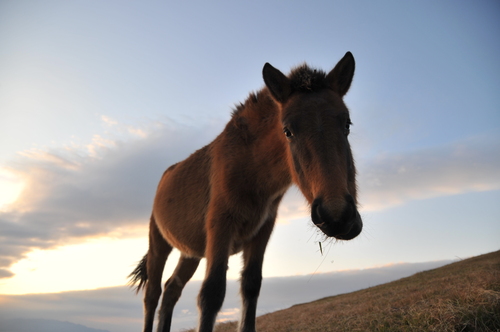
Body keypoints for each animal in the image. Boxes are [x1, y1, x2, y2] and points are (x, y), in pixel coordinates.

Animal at [129, 52, 364, 332]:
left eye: (347, 123)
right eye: (287, 131)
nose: (337, 216)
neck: (251, 171)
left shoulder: (262, 230)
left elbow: (251, 285)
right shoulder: (220, 226)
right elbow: (212, 293)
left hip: (190, 253)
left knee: (171, 289)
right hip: (159, 244)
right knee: (152, 295)